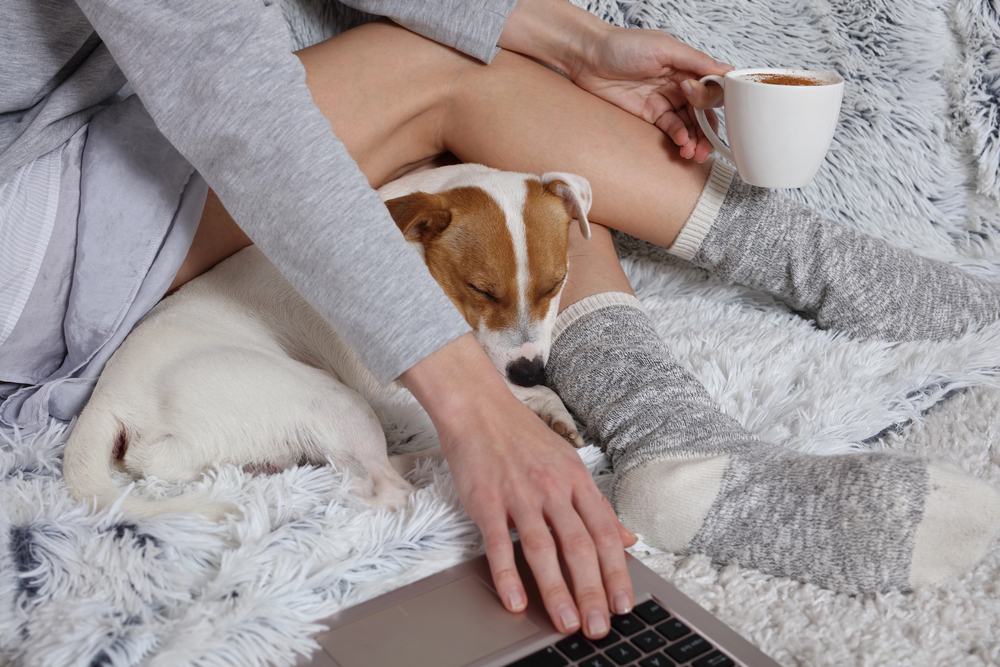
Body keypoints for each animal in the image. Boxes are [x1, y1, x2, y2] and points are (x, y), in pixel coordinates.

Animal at [62, 164, 588, 520]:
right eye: (481, 290)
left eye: (556, 284)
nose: (528, 370)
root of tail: (108, 399)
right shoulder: (387, 383)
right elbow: (497, 393)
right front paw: (538, 409)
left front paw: (549, 409)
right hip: (327, 398)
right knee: (381, 489)